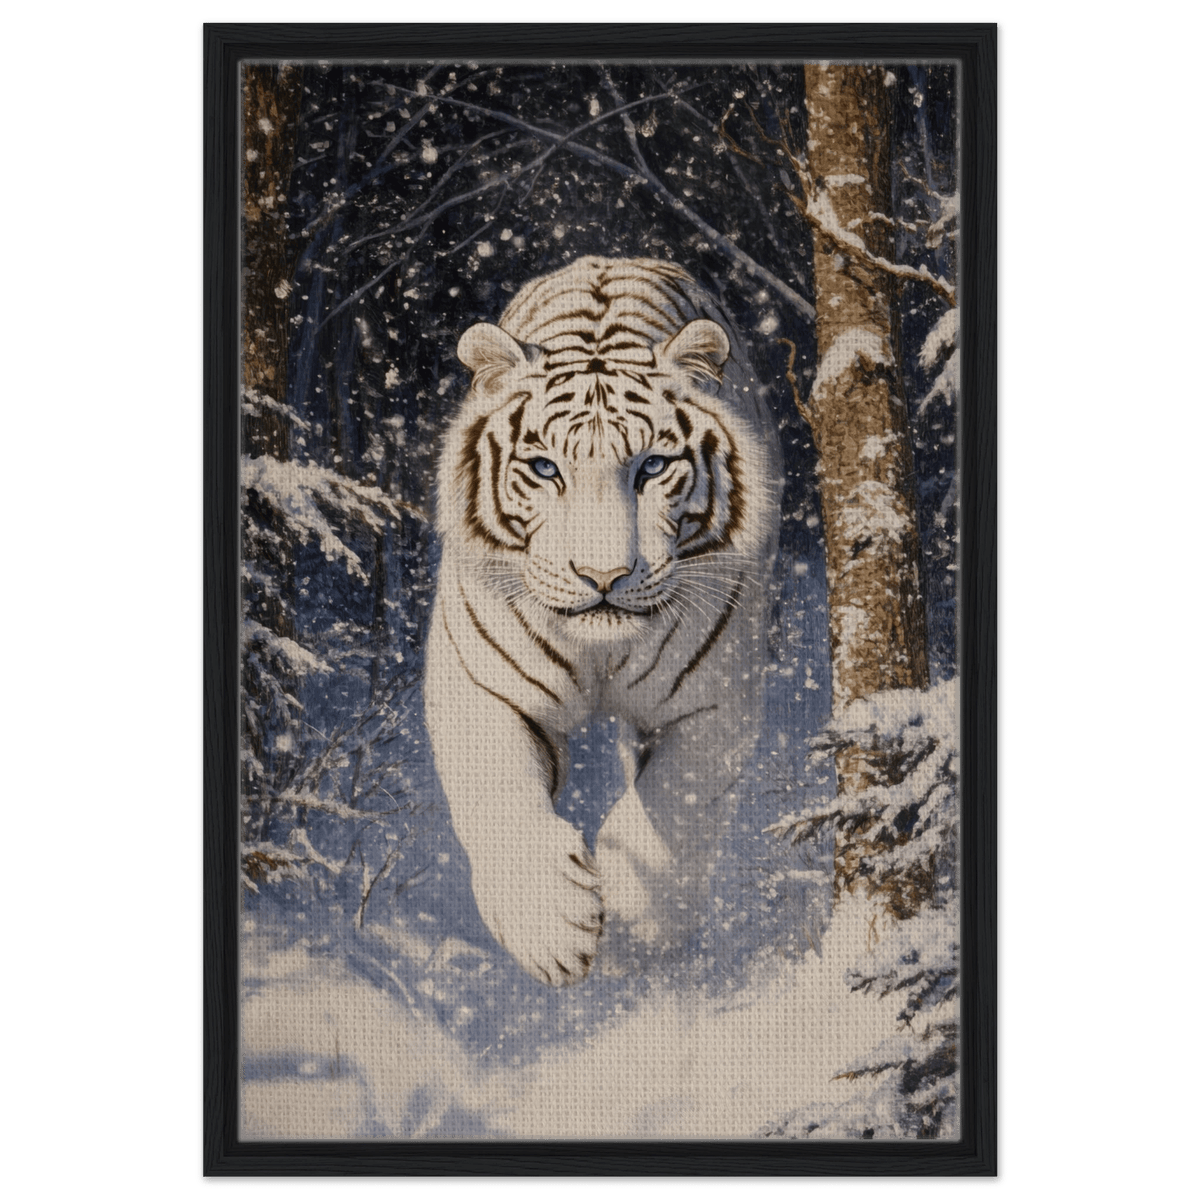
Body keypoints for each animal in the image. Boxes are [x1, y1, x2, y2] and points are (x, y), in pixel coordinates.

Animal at [424, 256, 781, 986]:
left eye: (653, 466)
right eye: (543, 468)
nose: (603, 577)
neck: (600, 653)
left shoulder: (715, 700)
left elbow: (671, 810)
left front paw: (636, 931)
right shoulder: (478, 686)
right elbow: (500, 796)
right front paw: (551, 929)